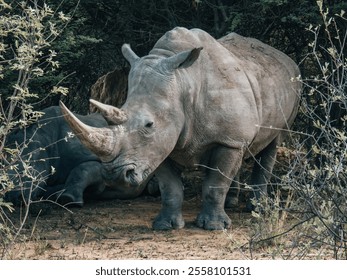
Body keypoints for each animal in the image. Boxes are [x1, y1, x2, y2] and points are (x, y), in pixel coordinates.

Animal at [61, 27, 302, 230]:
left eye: (149, 124)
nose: (113, 176)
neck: (183, 84)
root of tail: (285, 57)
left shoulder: (225, 140)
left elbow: (216, 184)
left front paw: (214, 227)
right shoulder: (159, 146)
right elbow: (170, 188)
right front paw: (166, 226)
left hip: (292, 86)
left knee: (272, 145)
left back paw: (257, 208)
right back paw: (232, 203)